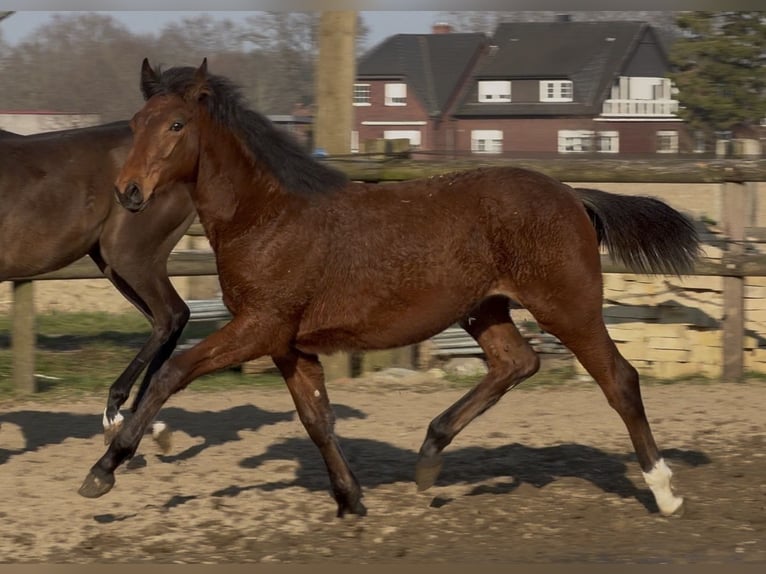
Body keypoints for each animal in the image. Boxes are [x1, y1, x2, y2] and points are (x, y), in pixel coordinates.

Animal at [0, 120, 197, 445]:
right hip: (114, 262)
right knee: (168, 318)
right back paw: (147, 422)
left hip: (129, 254)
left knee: (169, 316)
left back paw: (115, 413)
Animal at [81, 58, 700, 520]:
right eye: (136, 123)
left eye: (176, 126)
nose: (128, 192)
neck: (269, 216)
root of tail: (573, 195)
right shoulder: (288, 343)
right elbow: (317, 419)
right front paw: (351, 501)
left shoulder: (259, 326)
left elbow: (172, 372)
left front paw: (105, 469)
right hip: (483, 308)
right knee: (516, 363)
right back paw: (429, 458)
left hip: (568, 307)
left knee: (618, 379)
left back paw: (665, 490)